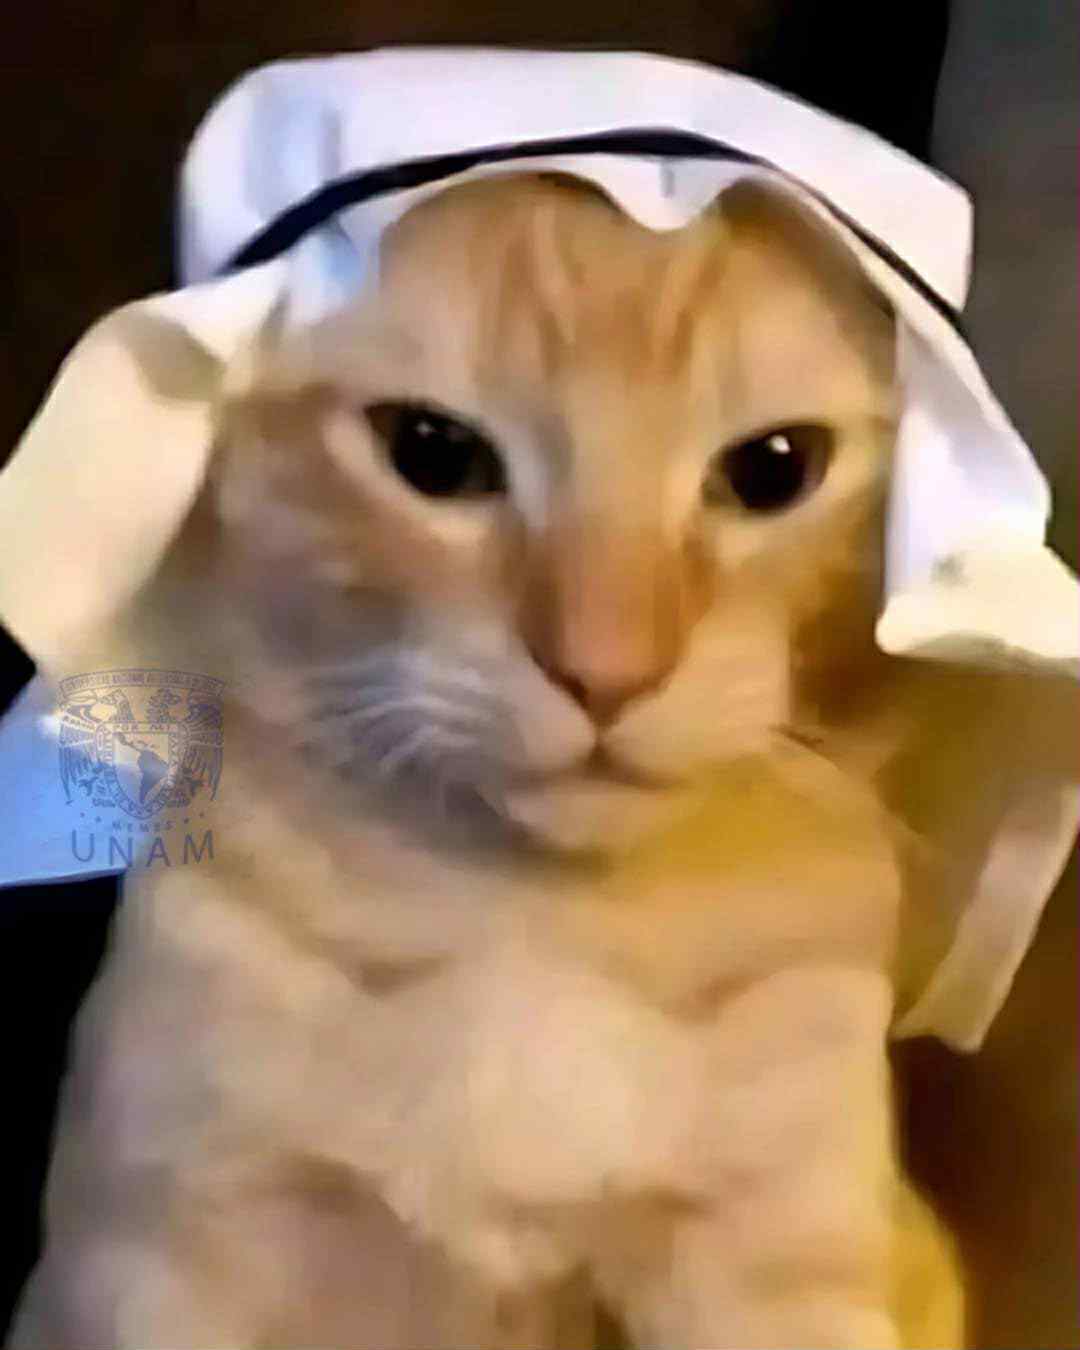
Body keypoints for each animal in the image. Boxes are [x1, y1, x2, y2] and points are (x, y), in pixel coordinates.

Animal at [19, 170, 1051, 1349]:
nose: (605, 673)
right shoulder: (170, 1247)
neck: (537, 931)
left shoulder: (784, 1263)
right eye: (432, 452)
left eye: (775, 470)